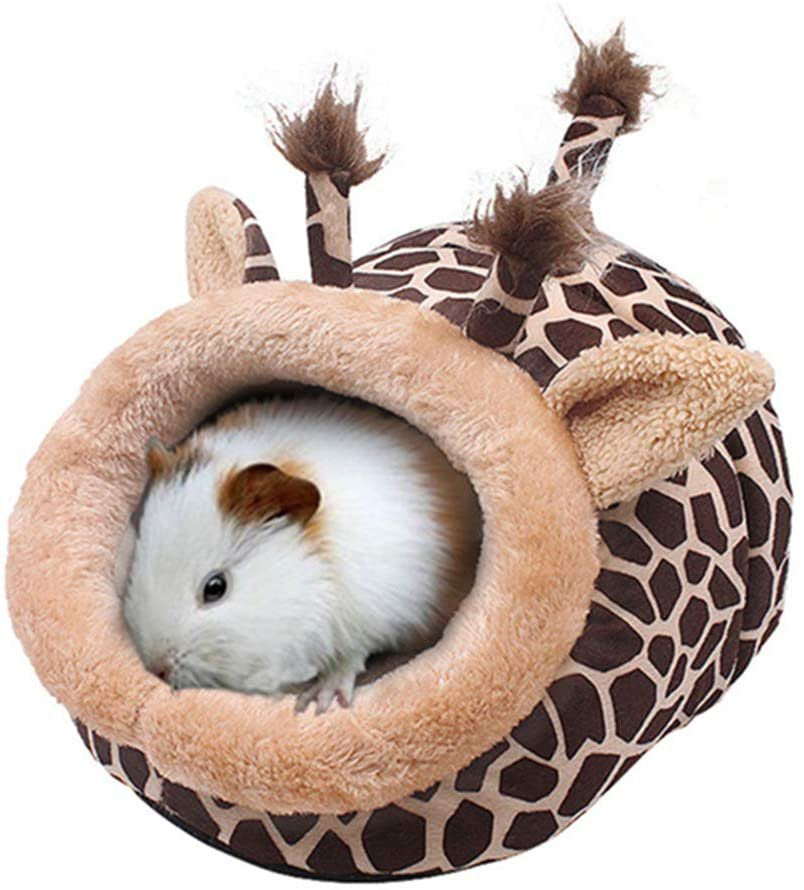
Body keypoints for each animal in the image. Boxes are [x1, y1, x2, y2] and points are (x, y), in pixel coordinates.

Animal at [122, 395, 481, 713]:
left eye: (215, 588)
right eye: (138, 562)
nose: (156, 667)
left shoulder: (378, 613)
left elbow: (352, 654)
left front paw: (318, 702)